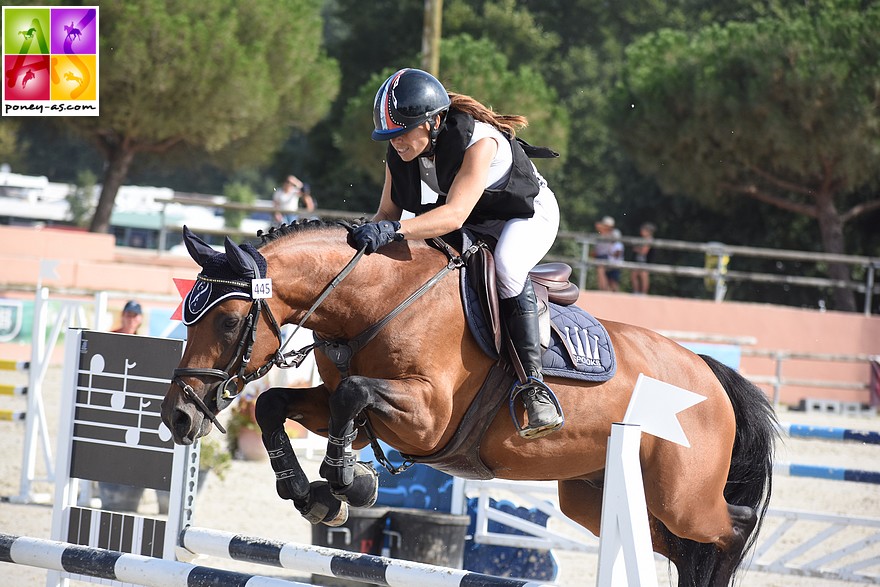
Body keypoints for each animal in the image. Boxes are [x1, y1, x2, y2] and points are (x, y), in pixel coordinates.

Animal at [162, 222, 772, 587]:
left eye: (228, 321)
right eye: (188, 318)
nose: (177, 416)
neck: (380, 301)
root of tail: (709, 374)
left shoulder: (426, 418)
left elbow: (353, 396)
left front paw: (348, 483)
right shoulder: (345, 409)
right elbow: (278, 407)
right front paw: (312, 494)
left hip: (682, 498)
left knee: (730, 529)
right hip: (594, 496)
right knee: (679, 548)